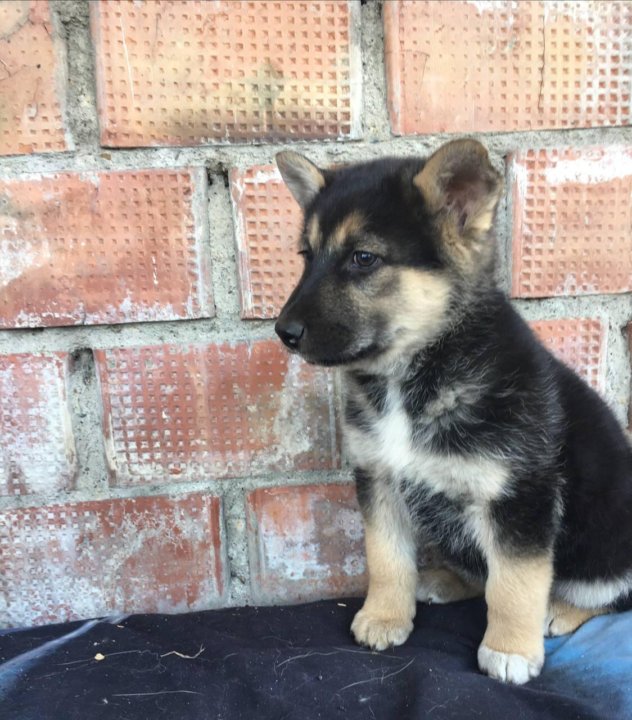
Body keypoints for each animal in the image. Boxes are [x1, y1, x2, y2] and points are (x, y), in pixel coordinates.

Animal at [272, 138, 632, 684]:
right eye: (305, 256)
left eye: (362, 258)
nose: (283, 332)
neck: (415, 373)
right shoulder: (379, 477)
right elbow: (386, 557)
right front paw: (384, 616)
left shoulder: (518, 496)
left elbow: (514, 584)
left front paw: (509, 648)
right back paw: (444, 579)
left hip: (608, 549)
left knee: (610, 596)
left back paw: (559, 610)